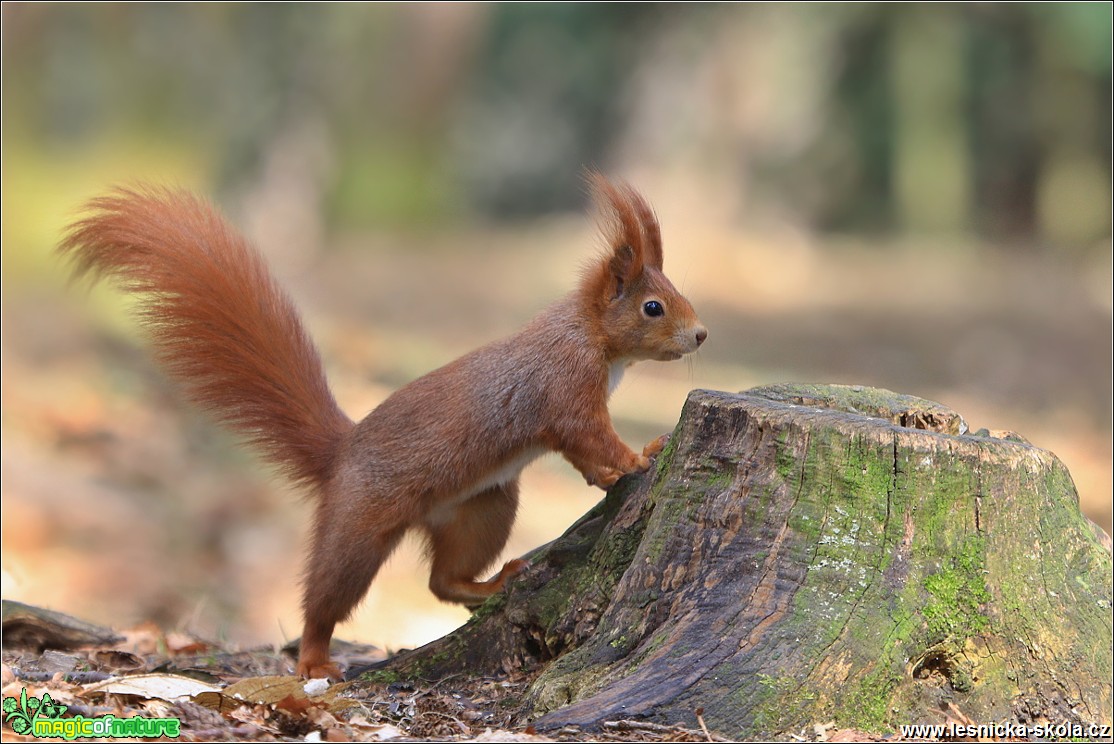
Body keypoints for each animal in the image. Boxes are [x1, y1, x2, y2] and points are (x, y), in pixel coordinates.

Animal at [60, 174, 704, 681]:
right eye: (652, 307)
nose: (700, 335)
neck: (590, 336)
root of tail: (339, 454)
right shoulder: (565, 389)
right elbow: (588, 435)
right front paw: (640, 457)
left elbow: (582, 455)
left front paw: (616, 470)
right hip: (360, 522)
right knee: (326, 597)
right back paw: (315, 658)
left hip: (482, 508)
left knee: (442, 581)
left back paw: (489, 585)